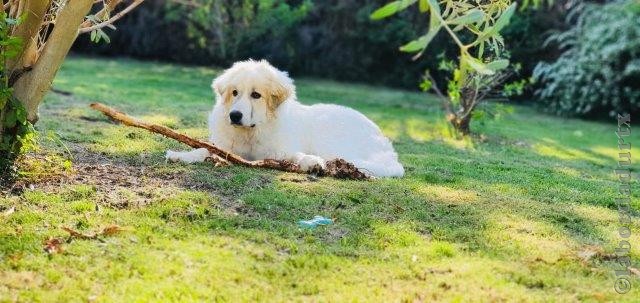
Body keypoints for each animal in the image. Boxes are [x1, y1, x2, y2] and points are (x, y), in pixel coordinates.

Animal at [165, 60, 404, 178]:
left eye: (256, 95)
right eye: (234, 93)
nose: (235, 115)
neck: (253, 131)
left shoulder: (280, 150)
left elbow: (296, 155)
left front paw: (312, 163)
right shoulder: (227, 148)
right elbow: (203, 150)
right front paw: (179, 156)